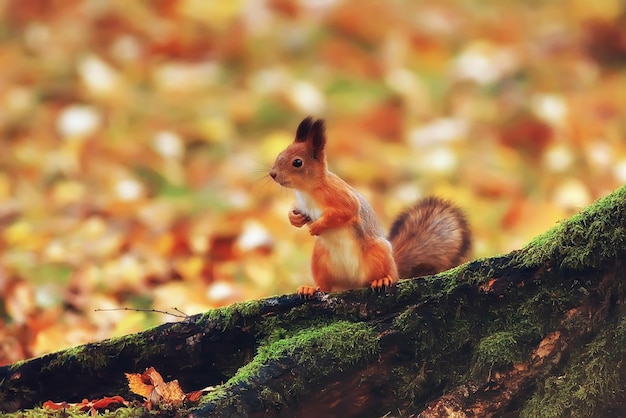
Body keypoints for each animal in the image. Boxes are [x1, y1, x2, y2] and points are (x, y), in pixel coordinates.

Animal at [268, 116, 468, 296]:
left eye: (297, 162)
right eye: (279, 154)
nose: (272, 174)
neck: (307, 191)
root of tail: (352, 283)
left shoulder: (341, 197)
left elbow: (345, 212)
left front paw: (317, 226)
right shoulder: (300, 202)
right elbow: (294, 211)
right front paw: (294, 218)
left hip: (377, 253)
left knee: (391, 276)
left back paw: (383, 279)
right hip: (320, 258)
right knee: (325, 287)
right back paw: (311, 289)